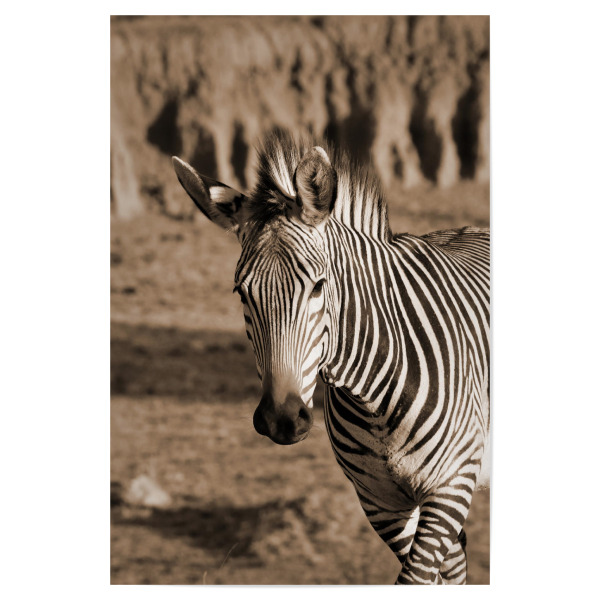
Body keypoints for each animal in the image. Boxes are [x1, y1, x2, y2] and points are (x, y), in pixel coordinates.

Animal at [172, 130, 490, 585]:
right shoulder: (381, 504)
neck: (374, 400)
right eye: (241, 293)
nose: (281, 419)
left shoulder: (452, 483)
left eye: (319, 286)